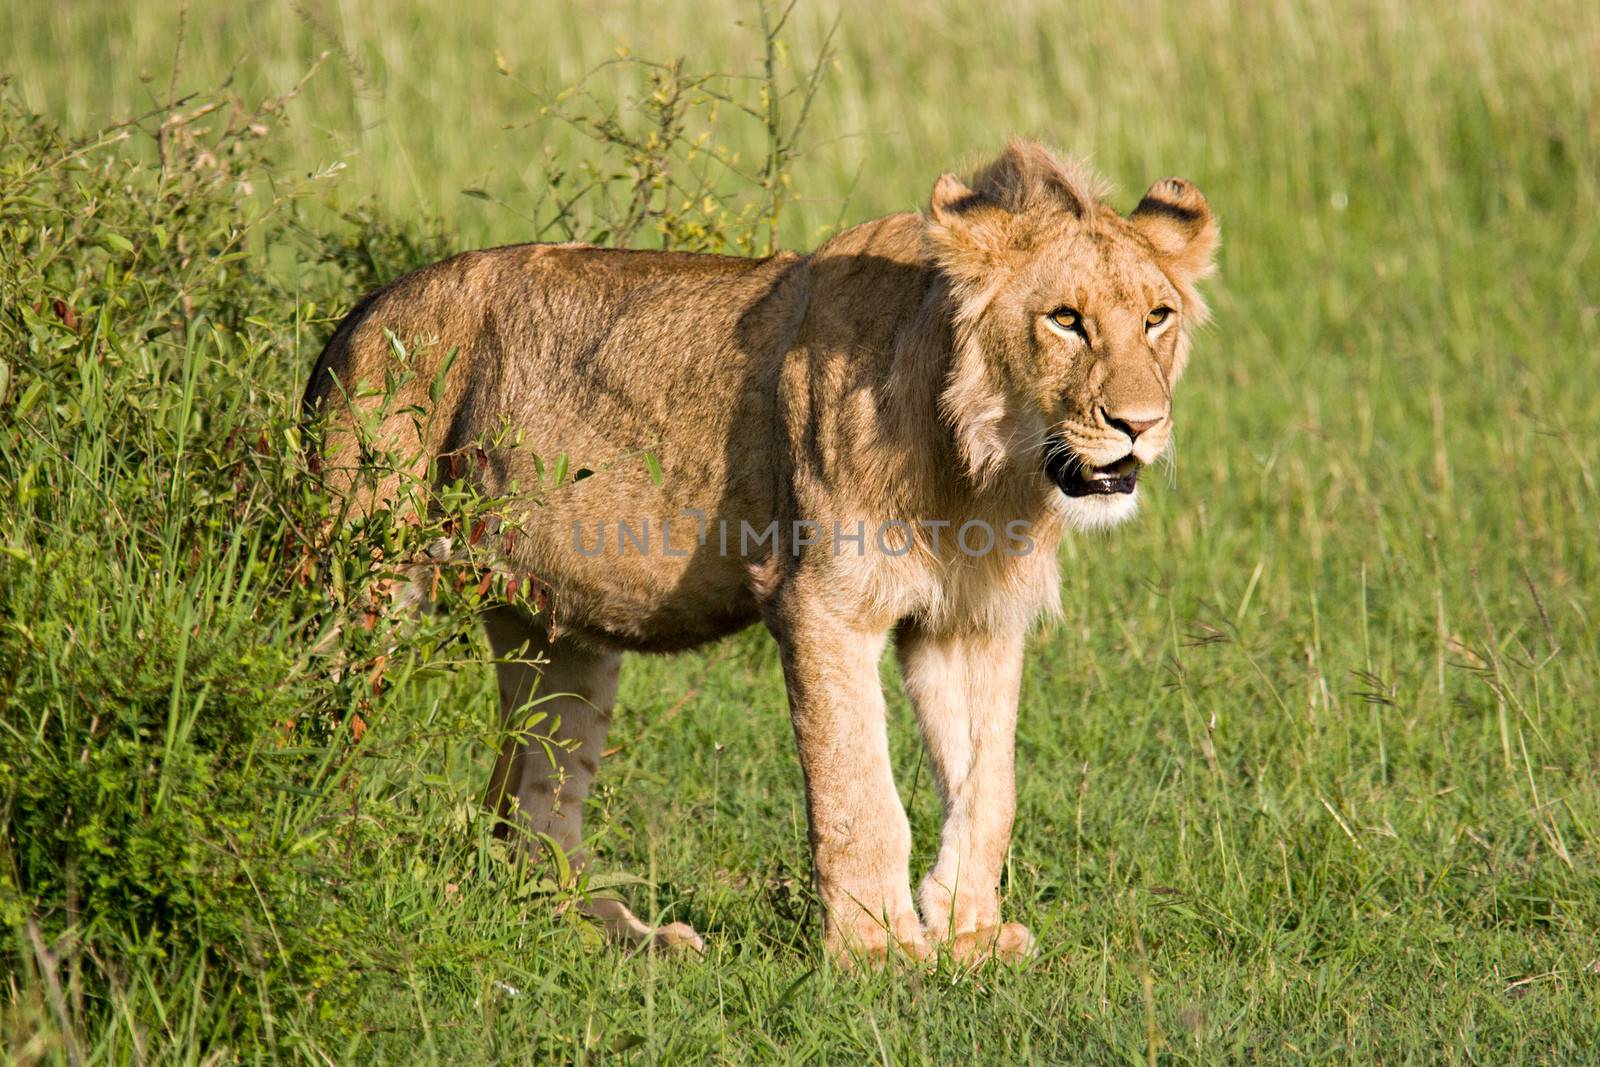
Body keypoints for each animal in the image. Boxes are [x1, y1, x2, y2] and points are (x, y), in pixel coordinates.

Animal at [305, 139, 1216, 966]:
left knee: (532, 812)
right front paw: (880, 949)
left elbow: (987, 788)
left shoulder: (971, 621)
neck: (984, 466)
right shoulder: (822, 600)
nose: (1140, 424)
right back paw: (325, 873)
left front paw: (970, 934)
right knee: (318, 725)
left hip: (554, 632)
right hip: (363, 579)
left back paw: (632, 938)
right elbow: (857, 788)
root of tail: (359, 313)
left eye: (1156, 317)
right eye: (1065, 319)